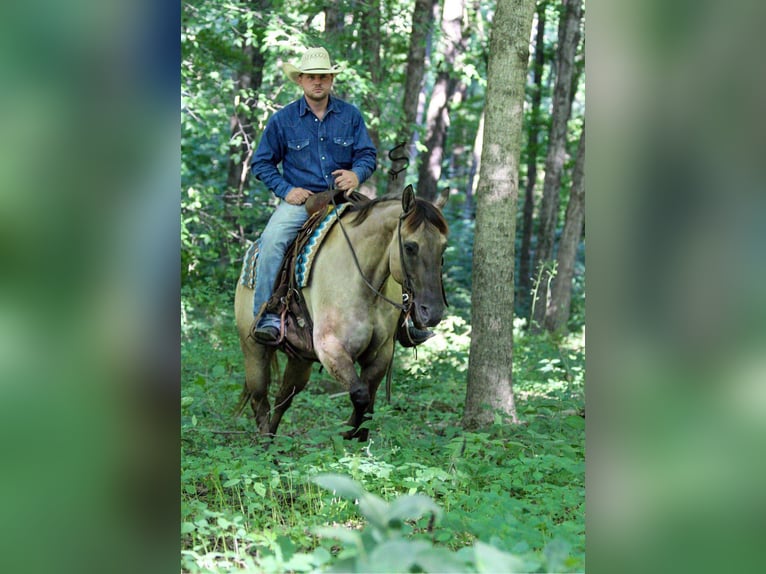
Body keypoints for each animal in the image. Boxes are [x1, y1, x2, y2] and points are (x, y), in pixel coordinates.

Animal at [234, 187, 450, 444]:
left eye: (443, 247)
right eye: (409, 247)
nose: (432, 312)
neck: (364, 282)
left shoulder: (381, 353)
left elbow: (369, 402)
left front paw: (358, 435)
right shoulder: (331, 349)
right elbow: (360, 394)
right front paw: (347, 431)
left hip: (300, 360)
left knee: (283, 399)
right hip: (254, 351)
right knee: (260, 400)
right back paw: (264, 445)